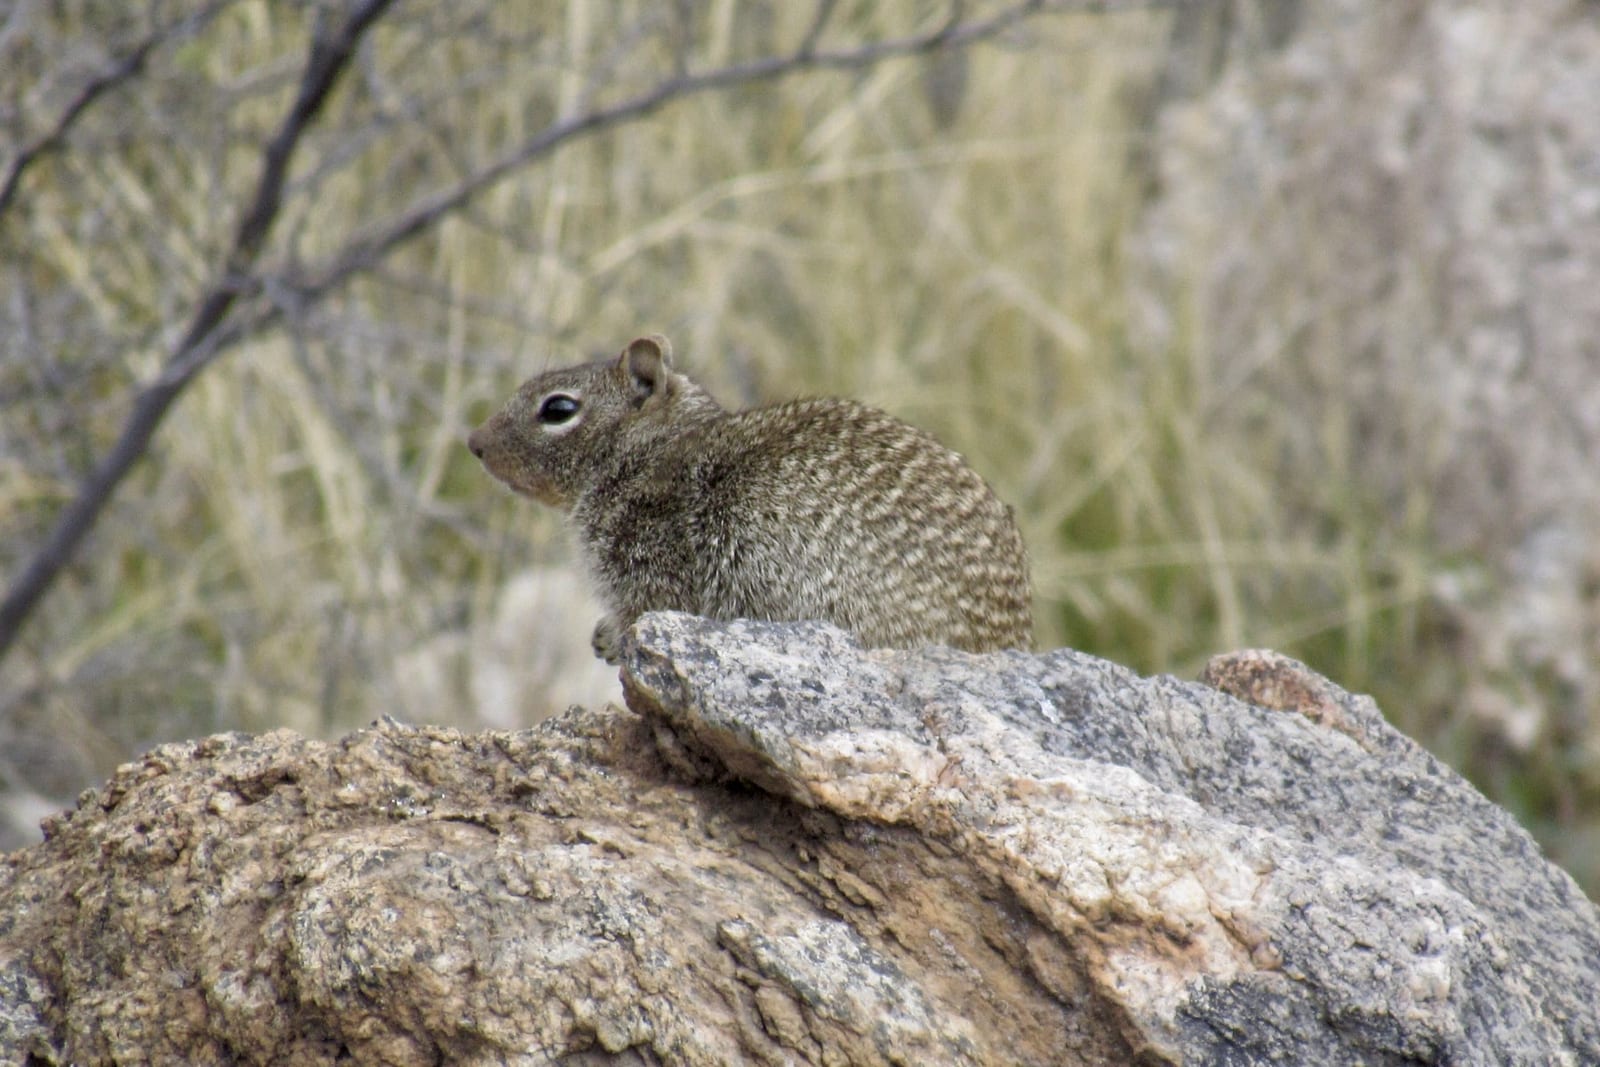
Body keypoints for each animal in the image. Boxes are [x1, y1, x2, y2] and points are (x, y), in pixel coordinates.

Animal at [467, 335, 1033, 663]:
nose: (473, 443)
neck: (651, 450)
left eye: (558, 409)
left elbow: (645, 612)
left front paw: (615, 640)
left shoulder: (654, 569)